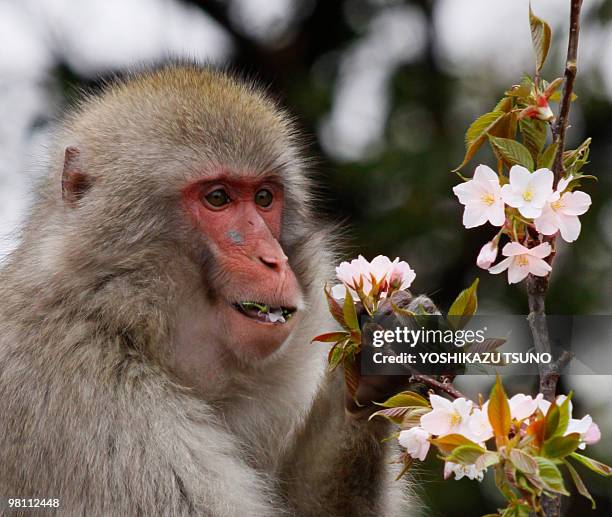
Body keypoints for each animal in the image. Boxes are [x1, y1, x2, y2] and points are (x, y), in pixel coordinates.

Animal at [0, 64, 430, 516]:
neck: (116, 317)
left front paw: (369, 370)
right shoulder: (91, 401)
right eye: (218, 198)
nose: (272, 258)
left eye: (264, 197)